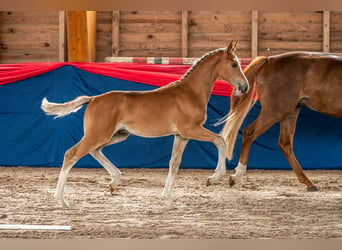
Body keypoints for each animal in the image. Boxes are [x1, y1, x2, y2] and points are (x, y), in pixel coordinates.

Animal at [40, 41, 248, 209]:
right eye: (233, 64)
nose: (245, 87)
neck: (190, 93)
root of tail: (93, 98)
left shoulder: (181, 136)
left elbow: (174, 163)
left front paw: (168, 200)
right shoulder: (191, 130)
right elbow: (220, 140)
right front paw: (214, 178)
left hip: (117, 135)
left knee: (94, 151)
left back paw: (114, 181)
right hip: (99, 134)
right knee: (72, 154)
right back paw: (61, 200)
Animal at [219, 51, 342, 191]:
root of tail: (269, 60)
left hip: (290, 113)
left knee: (285, 144)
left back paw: (308, 182)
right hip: (275, 111)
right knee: (249, 133)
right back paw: (237, 175)